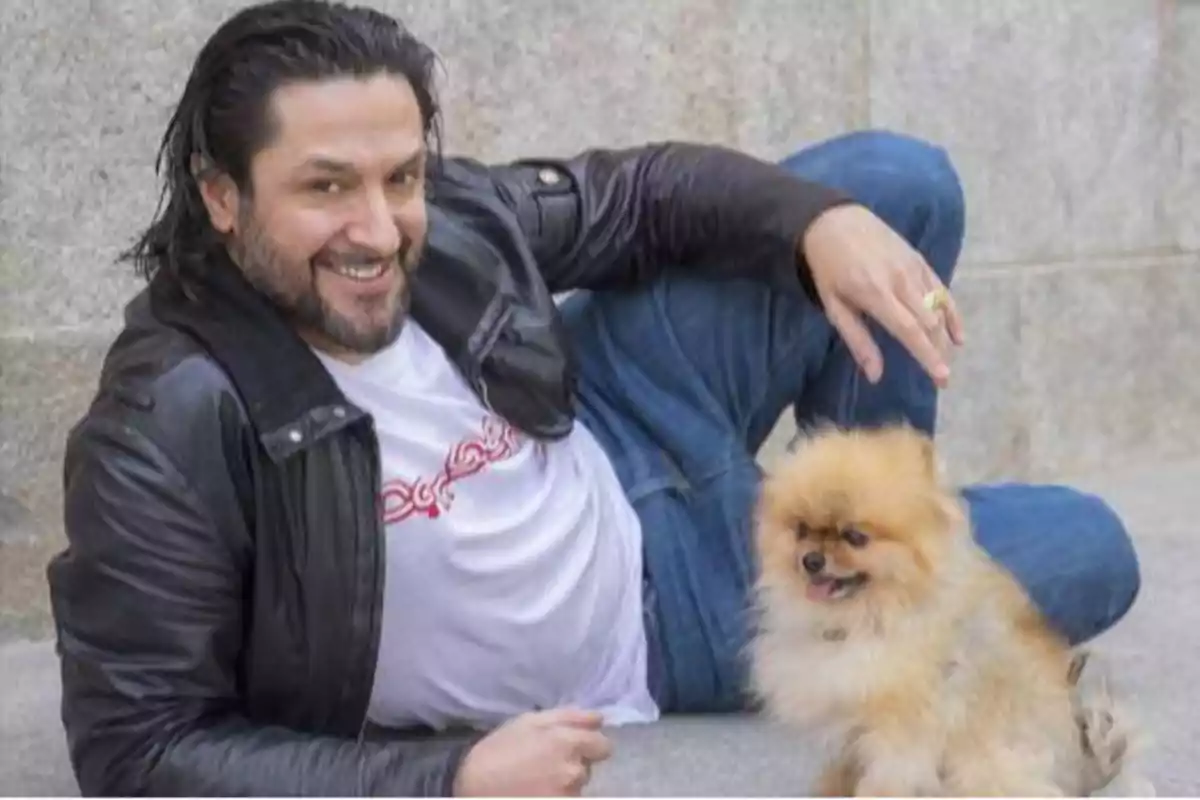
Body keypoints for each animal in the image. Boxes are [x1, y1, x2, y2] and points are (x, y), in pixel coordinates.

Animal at [744, 422, 1147, 796]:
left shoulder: (902, 726)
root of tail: (1081, 776)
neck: (869, 620)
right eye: (801, 529)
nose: (811, 560)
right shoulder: (853, 720)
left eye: (856, 537)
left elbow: (885, 777)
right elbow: (847, 766)